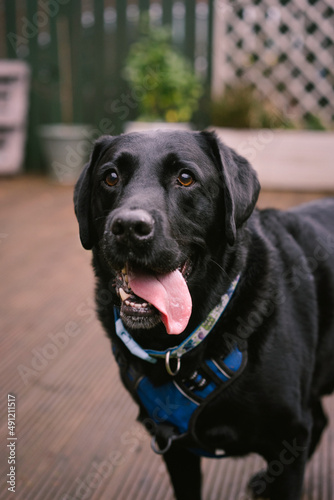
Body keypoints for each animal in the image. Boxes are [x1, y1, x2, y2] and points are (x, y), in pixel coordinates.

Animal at [74, 130, 334, 500]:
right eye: (110, 177)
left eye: (185, 178)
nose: (128, 227)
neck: (177, 346)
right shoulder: (173, 445)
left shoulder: (289, 435)